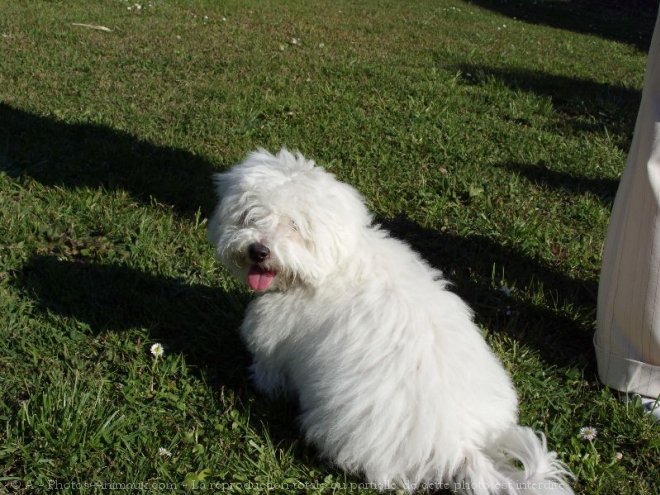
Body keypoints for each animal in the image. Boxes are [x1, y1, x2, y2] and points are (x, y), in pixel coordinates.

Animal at [208, 149, 572, 494]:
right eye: (251, 215)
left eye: (295, 226)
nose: (258, 251)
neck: (335, 266)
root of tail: (464, 448)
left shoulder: (277, 340)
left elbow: (270, 368)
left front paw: (261, 384)